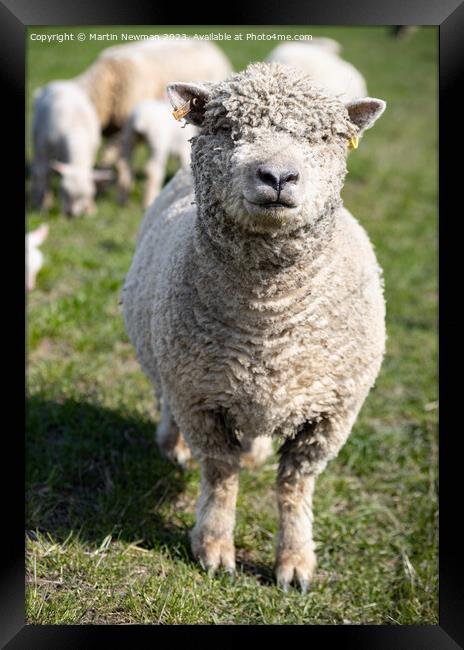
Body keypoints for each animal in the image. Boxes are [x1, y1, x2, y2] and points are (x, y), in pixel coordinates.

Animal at [121, 63, 386, 588]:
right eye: (227, 128)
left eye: (323, 136)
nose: (279, 176)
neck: (269, 318)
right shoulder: (199, 398)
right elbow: (220, 475)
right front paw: (214, 547)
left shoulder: (331, 415)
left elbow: (295, 486)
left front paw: (295, 561)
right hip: (169, 362)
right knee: (164, 400)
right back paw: (171, 445)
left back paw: (255, 451)